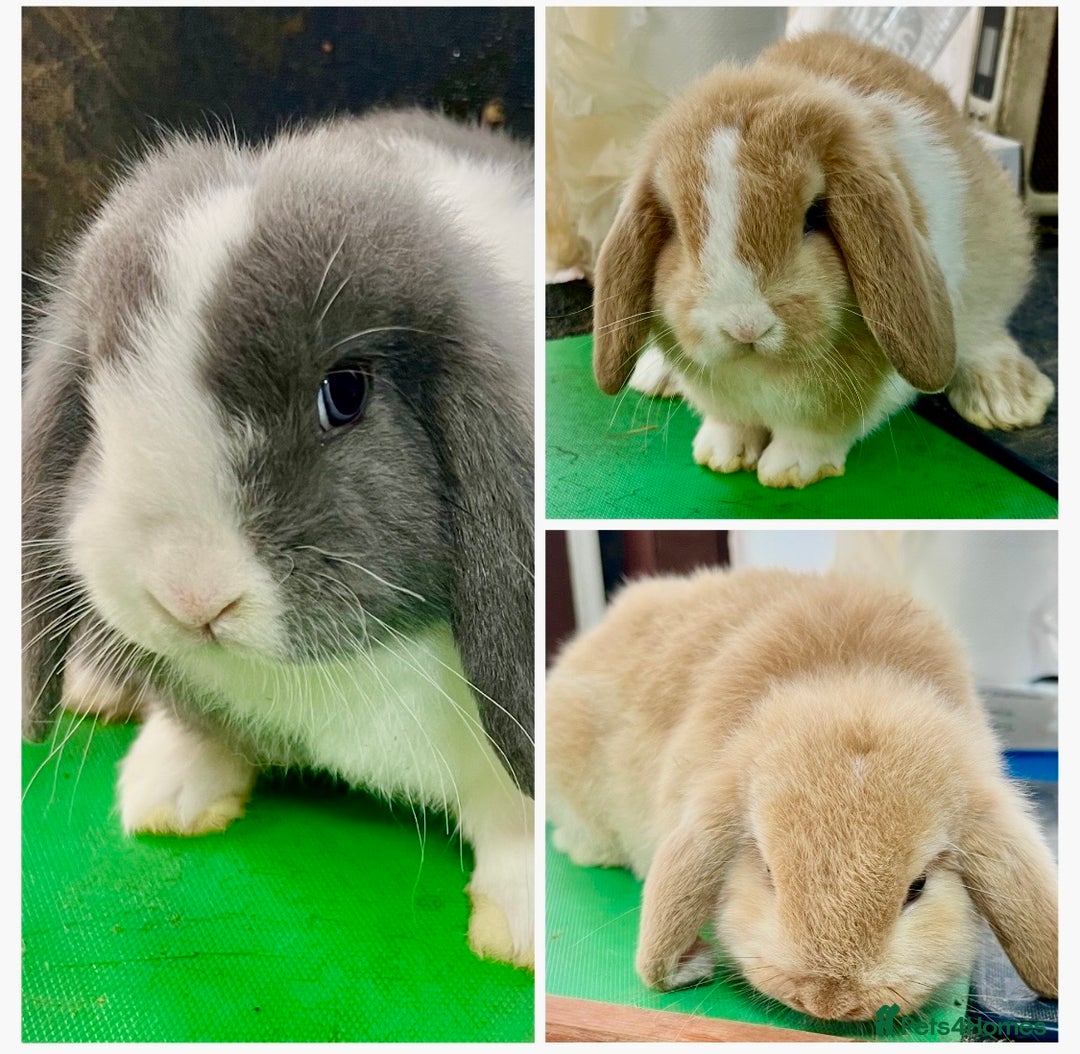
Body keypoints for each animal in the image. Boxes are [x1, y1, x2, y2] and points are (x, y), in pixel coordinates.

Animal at [22, 110, 535, 969]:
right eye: (95, 399)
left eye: (346, 392)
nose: (190, 596)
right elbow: (196, 727)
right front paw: (166, 795)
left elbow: (516, 817)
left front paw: (518, 927)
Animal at [592, 31, 1054, 488]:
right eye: (675, 225)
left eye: (815, 215)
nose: (746, 326)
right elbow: (729, 423)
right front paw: (721, 456)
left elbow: (816, 435)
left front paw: (789, 471)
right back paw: (654, 377)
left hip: (999, 257)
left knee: (986, 331)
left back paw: (1007, 399)